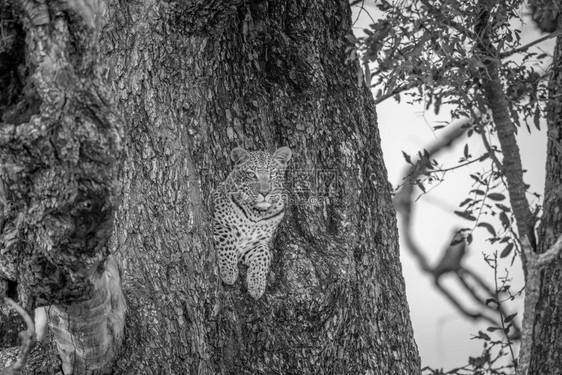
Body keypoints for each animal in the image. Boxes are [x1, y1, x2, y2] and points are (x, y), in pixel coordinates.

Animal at [211, 146, 294, 300]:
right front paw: (228, 272)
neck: (256, 215)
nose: (265, 192)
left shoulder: (254, 244)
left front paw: (257, 286)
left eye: (273, 174)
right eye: (251, 174)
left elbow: (264, 254)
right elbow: (227, 238)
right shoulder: (217, 221)